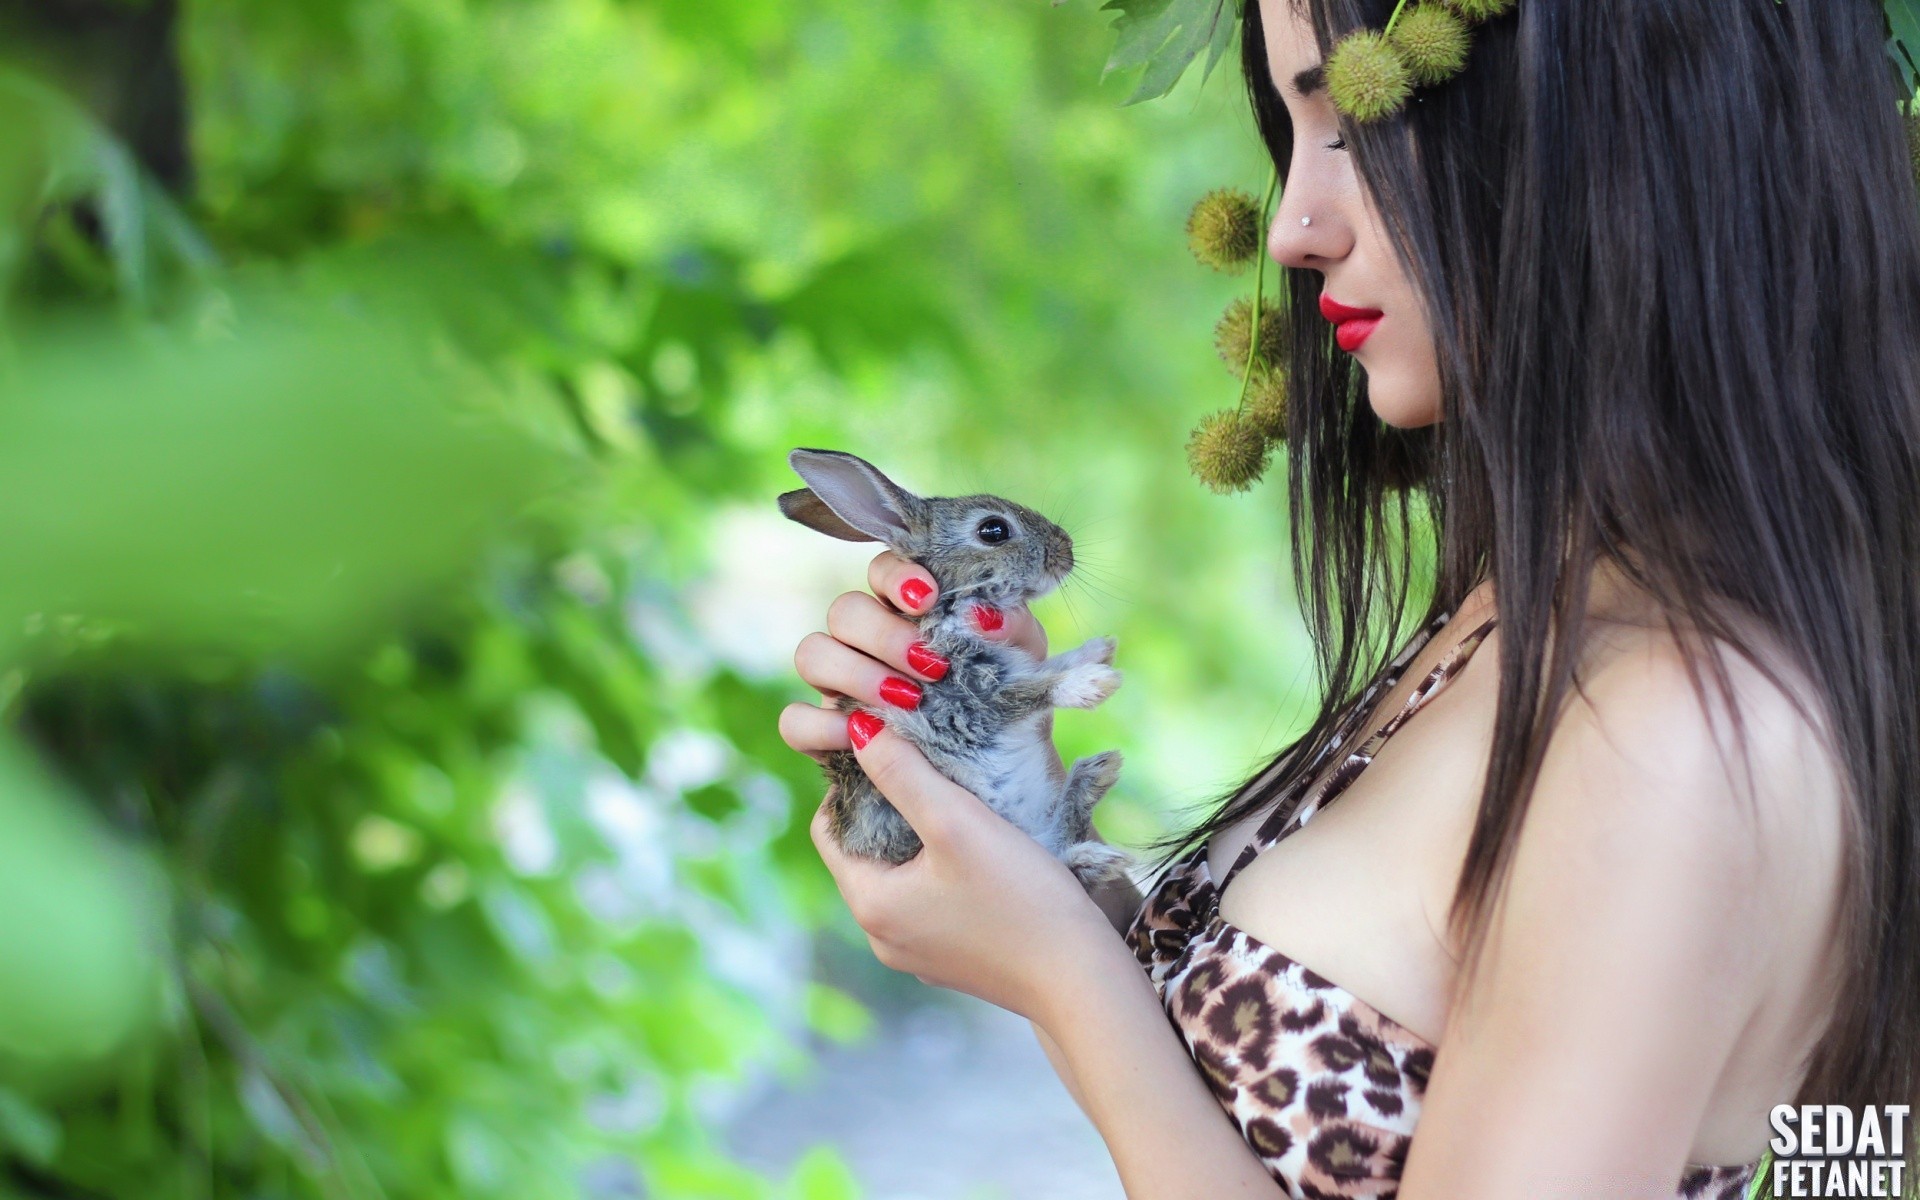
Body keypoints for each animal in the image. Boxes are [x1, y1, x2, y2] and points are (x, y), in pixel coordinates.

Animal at [775, 447, 1136, 890]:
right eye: (993, 530)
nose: (1066, 551)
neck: (954, 602)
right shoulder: (962, 699)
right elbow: (1024, 693)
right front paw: (1091, 682)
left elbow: (1041, 668)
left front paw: (1100, 649)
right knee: (1060, 858)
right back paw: (1094, 831)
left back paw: (1094, 781)